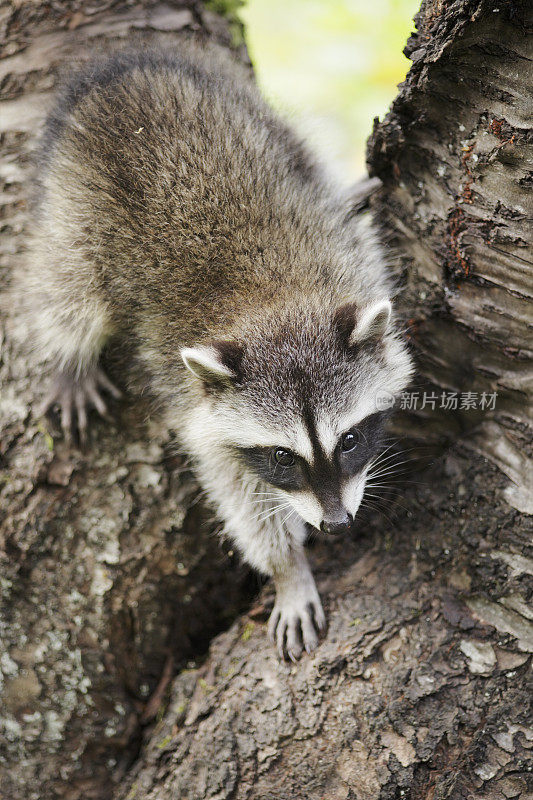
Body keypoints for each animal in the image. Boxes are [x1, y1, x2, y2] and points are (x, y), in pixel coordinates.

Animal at [22, 40, 414, 660]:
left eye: (350, 440)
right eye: (282, 456)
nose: (335, 526)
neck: (273, 307)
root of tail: (121, 70)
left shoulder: (350, 257)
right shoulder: (192, 401)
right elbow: (240, 497)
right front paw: (287, 568)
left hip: (260, 125)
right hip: (75, 197)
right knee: (70, 287)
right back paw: (70, 357)